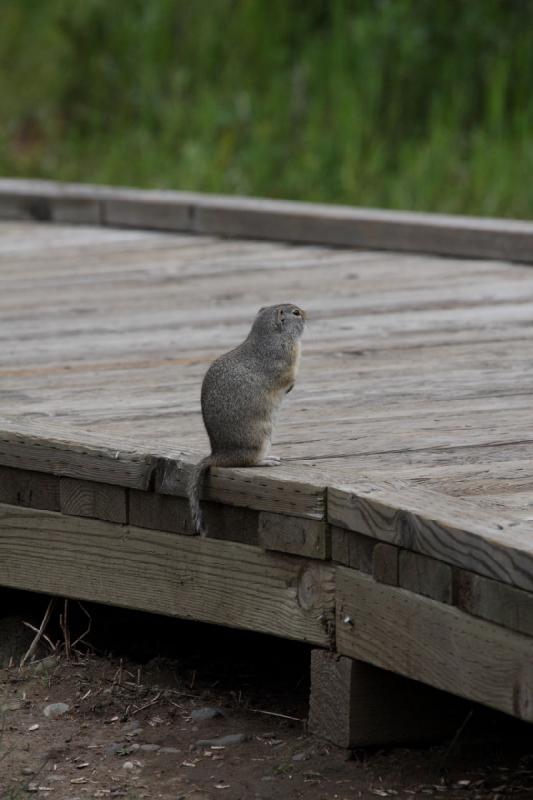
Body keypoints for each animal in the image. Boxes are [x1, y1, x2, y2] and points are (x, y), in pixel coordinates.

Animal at [187, 304, 306, 536]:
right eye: (296, 313)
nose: (306, 314)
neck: (270, 335)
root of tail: (218, 454)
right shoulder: (286, 361)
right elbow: (289, 377)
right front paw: (291, 386)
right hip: (260, 439)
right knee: (247, 462)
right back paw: (266, 461)